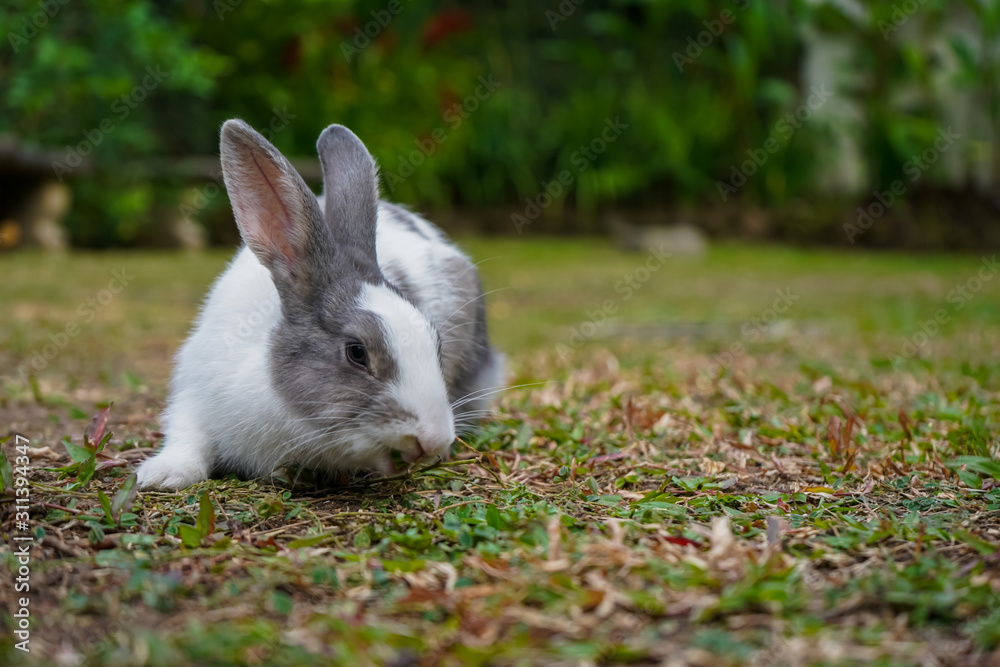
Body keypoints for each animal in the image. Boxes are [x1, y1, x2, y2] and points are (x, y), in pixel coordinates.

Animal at [136, 119, 504, 490]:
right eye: (356, 352)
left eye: (436, 344)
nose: (435, 440)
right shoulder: (194, 387)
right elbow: (187, 435)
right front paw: (162, 475)